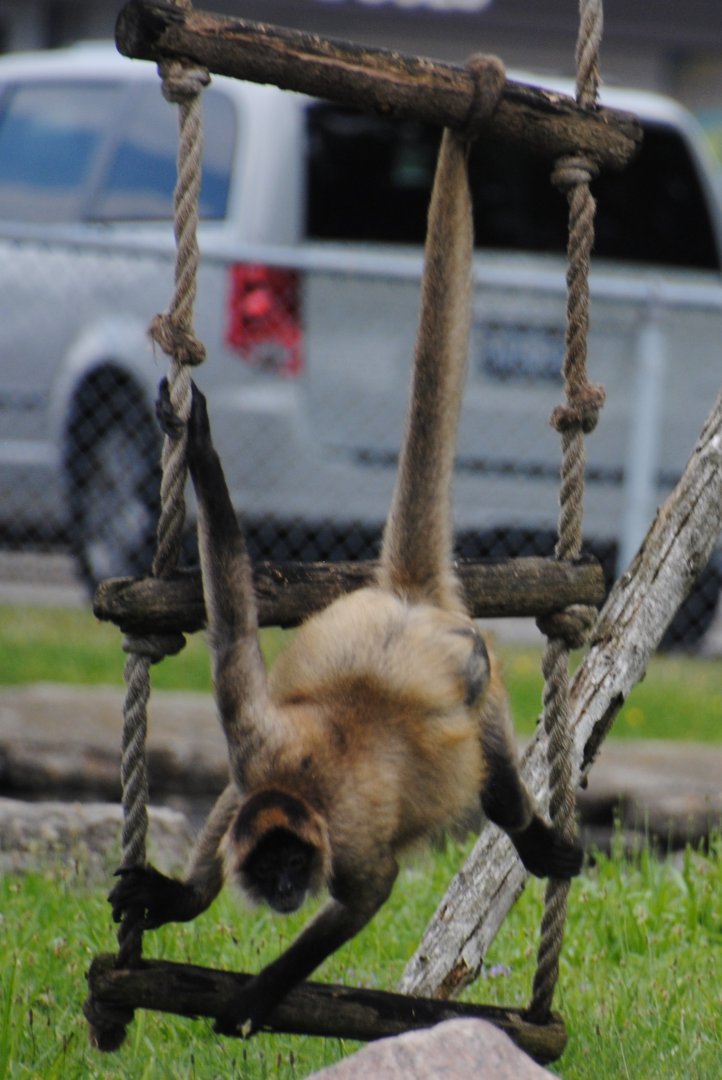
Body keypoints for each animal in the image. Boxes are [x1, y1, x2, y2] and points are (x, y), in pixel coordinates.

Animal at [109, 127, 582, 1036]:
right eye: (274, 870)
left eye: (299, 869)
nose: (289, 891)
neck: (299, 787)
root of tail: (408, 599)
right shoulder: (251, 742)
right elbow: (232, 626)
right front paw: (185, 901)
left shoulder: (351, 843)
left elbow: (369, 896)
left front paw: (259, 993)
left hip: (472, 668)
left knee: (496, 778)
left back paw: (531, 832)